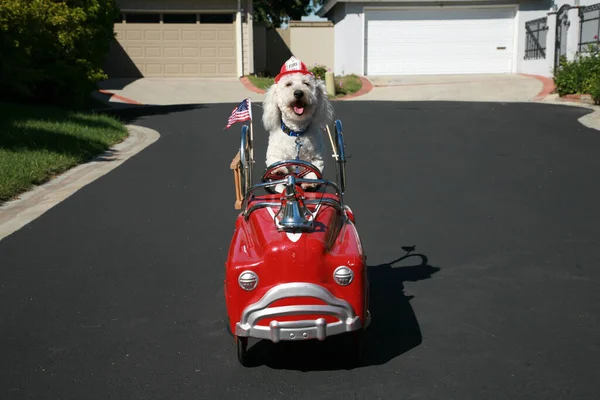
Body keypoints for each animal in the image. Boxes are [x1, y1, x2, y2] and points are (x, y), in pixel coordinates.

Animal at [262, 56, 336, 189]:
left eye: (306, 84)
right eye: (288, 84)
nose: (298, 93)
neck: (296, 132)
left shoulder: (317, 158)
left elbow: (314, 170)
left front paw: (309, 182)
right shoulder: (273, 153)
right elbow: (274, 161)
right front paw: (279, 170)